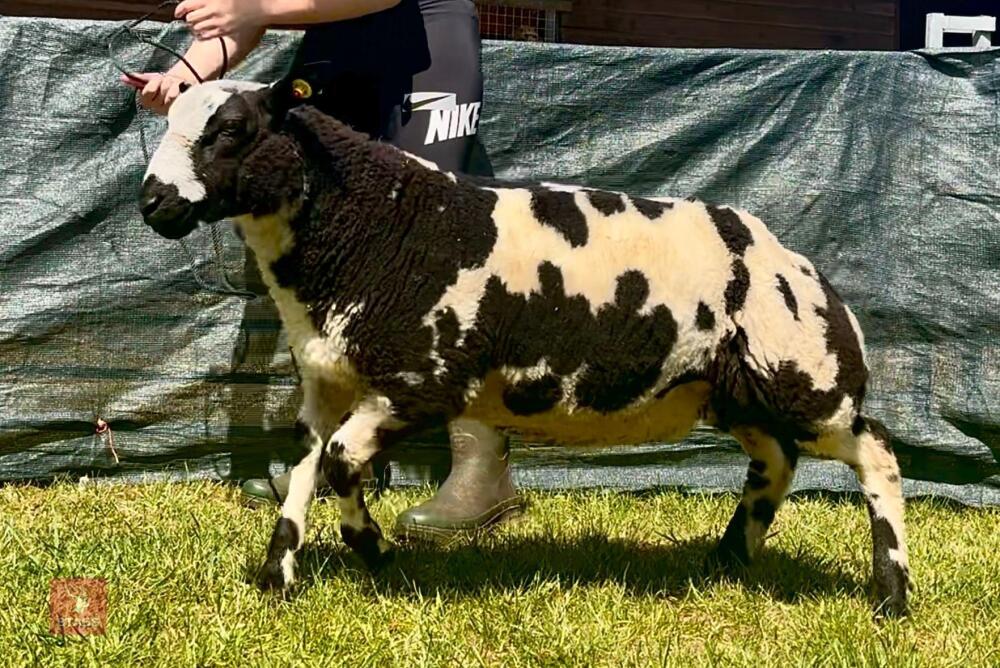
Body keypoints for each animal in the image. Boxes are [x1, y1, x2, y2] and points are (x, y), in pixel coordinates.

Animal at [139, 78, 910, 616]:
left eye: (231, 131)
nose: (152, 203)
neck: (376, 222)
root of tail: (796, 262)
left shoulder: (422, 380)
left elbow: (339, 465)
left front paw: (378, 554)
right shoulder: (325, 383)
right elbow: (304, 470)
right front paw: (278, 579)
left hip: (804, 375)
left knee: (876, 454)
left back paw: (891, 595)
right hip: (734, 388)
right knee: (777, 461)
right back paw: (729, 560)